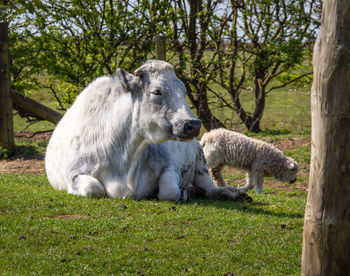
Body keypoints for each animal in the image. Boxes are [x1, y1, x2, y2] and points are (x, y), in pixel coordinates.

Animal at [45, 60, 250, 202]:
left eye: (183, 91)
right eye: (156, 92)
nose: (193, 124)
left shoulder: (170, 166)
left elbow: (169, 191)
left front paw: (182, 193)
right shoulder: (73, 174)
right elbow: (94, 188)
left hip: (200, 162)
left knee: (209, 188)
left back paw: (230, 193)